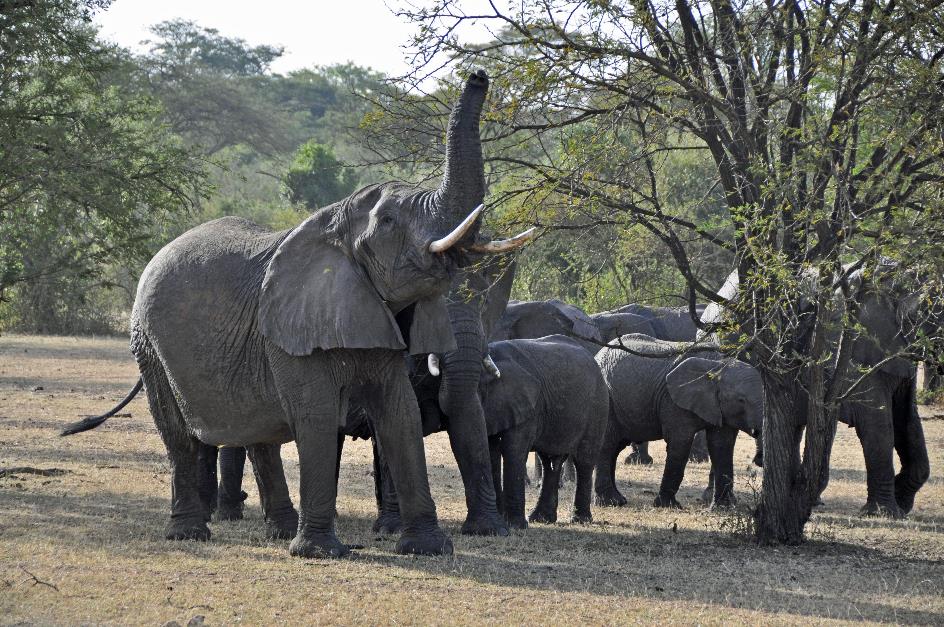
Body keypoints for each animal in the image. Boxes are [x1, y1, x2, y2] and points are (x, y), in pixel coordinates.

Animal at [61, 70, 528, 560]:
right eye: (387, 222)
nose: (477, 75)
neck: (334, 224)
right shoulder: (289, 330)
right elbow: (317, 415)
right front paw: (322, 553)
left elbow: (398, 413)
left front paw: (428, 548)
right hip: (149, 343)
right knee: (178, 432)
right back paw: (190, 534)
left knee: (256, 429)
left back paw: (281, 531)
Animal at [480, 336, 612, 528]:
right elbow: (491, 452)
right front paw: (501, 521)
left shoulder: (527, 406)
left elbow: (514, 451)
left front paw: (515, 526)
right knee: (550, 462)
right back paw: (541, 519)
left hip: (598, 404)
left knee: (584, 460)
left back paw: (580, 520)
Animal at [592, 334, 764, 510]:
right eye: (741, 400)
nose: (759, 459)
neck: (717, 366)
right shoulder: (673, 402)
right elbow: (680, 444)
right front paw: (668, 506)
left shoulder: (721, 408)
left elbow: (722, 445)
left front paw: (724, 508)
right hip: (606, 401)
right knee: (607, 446)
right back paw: (610, 502)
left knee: (615, 448)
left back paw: (618, 500)